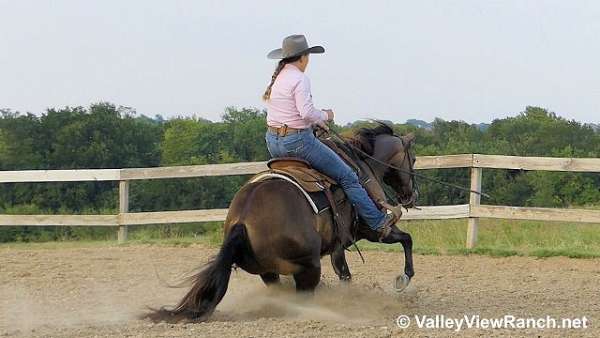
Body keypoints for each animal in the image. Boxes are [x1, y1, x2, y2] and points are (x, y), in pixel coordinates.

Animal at [155, 123, 418, 320]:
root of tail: (243, 219)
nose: (411, 195)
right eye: (413, 159)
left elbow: (344, 273)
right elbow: (406, 239)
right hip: (308, 267)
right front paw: (402, 279)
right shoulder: (371, 230)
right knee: (303, 297)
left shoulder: (338, 246)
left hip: (269, 272)